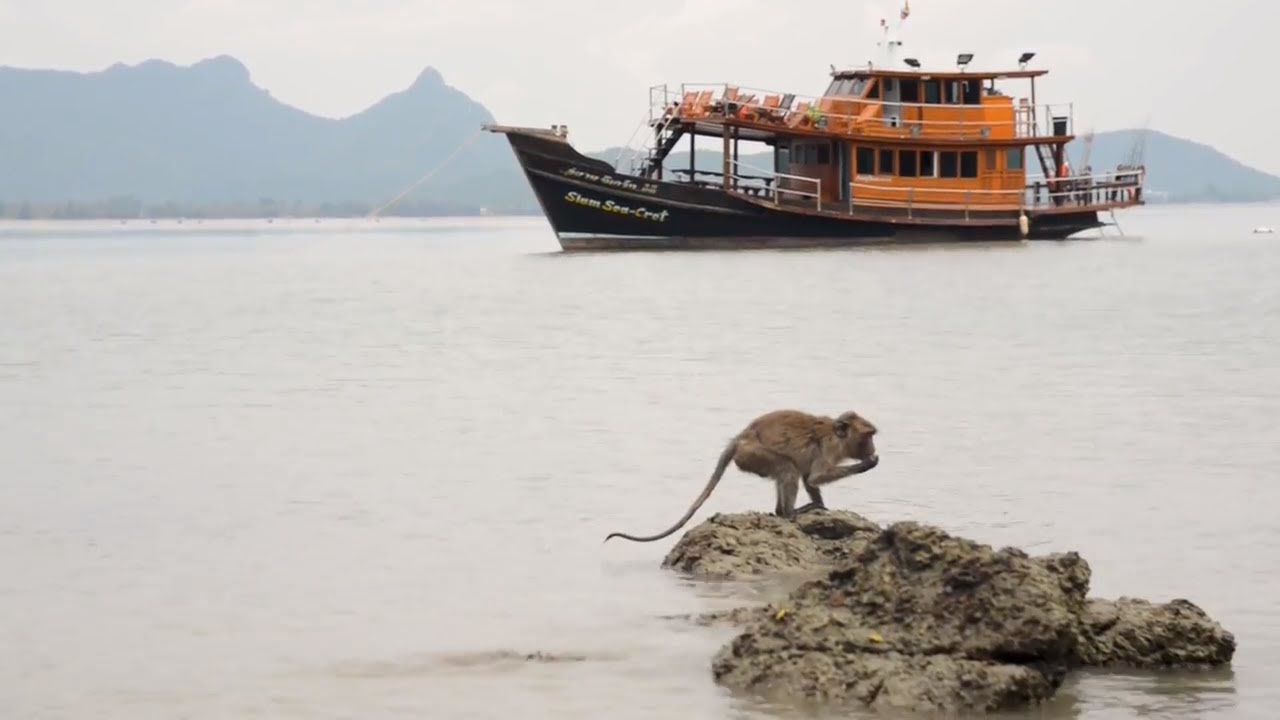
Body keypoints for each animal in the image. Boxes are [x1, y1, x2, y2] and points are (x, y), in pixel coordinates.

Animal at [603, 409, 879, 544]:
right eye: (868, 437)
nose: (873, 449)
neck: (838, 435)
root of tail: (740, 438)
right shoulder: (830, 447)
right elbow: (815, 477)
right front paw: (867, 464)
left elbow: (810, 478)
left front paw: (820, 504)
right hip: (754, 455)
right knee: (787, 468)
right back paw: (788, 514)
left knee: (788, 471)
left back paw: (787, 512)